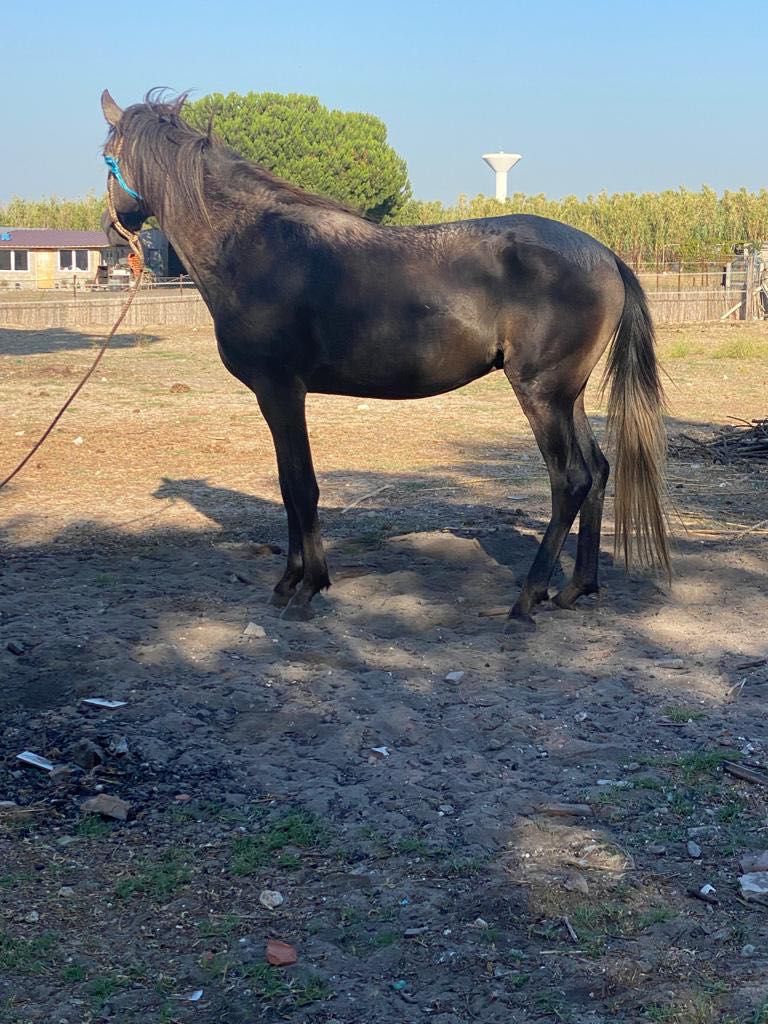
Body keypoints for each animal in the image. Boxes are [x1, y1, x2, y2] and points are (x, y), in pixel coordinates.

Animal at [100, 90, 667, 630]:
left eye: (107, 157)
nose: (109, 232)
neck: (256, 245)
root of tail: (605, 255)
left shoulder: (281, 391)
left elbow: (300, 485)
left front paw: (307, 588)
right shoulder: (277, 396)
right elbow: (287, 486)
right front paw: (288, 582)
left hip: (542, 396)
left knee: (570, 481)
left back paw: (527, 599)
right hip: (568, 396)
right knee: (597, 471)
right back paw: (576, 589)